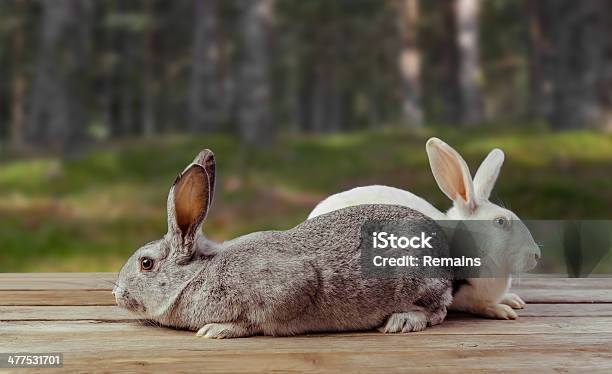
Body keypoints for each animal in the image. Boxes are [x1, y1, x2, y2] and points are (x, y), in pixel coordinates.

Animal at [113, 150, 450, 338]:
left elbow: (253, 320)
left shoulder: (289, 288)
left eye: (146, 263)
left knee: (437, 311)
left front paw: (216, 330)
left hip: (418, 281)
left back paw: (401, 321)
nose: (116, 293)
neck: (196, 276)